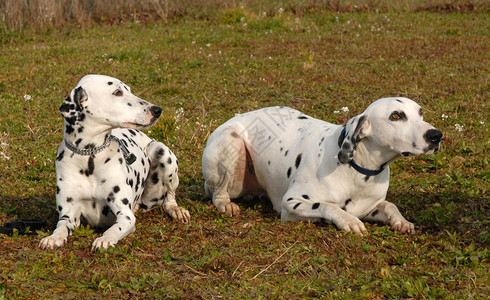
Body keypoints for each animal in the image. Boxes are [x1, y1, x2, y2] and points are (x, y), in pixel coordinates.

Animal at [39, 74, 189, 251]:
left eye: (129, 89)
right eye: (117, 92)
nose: (157, 110)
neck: (90, 157)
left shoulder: (125, 215)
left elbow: (114, 228)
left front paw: (105, 239)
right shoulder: (69, 214)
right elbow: (61, 226)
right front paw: (53, 237)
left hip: (163, 153)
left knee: (169, 198)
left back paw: (176, 209)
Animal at [201, 97, 442, 236]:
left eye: (420, 112)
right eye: (396, 115)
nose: (436, 135)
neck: (356, 168)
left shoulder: (370, 207)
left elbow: (390, 206)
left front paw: (401, 221)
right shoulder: (291, 204)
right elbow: (327, 206)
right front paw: (347, 220)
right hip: (231, 142)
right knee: (218, 194)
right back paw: (226, 204)